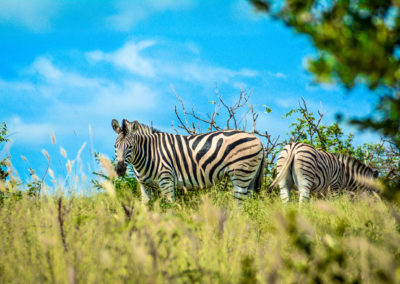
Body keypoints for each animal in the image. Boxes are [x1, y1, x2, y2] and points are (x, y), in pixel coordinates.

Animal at [111, 118, 266, 203]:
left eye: (131, 146)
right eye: (115, 146)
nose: (120, 170)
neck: (149, 153)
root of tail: (258, 139)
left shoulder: (166, 180)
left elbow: (169, 207)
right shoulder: (145, 185)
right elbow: (145, 210)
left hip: (240, 174)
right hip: (250, 177)